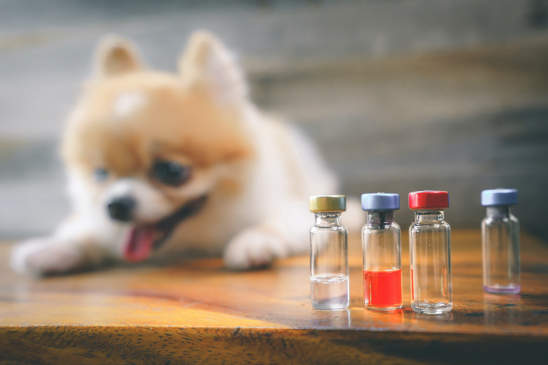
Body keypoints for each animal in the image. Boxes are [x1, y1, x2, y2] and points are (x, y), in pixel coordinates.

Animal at [10, 31, 342, 274]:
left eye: (172, 171)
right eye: (100, 174)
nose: (116, 205)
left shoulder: (289, 208)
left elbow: (274, 223)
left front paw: (253, 243)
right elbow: (86, 233)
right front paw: (50, 249)